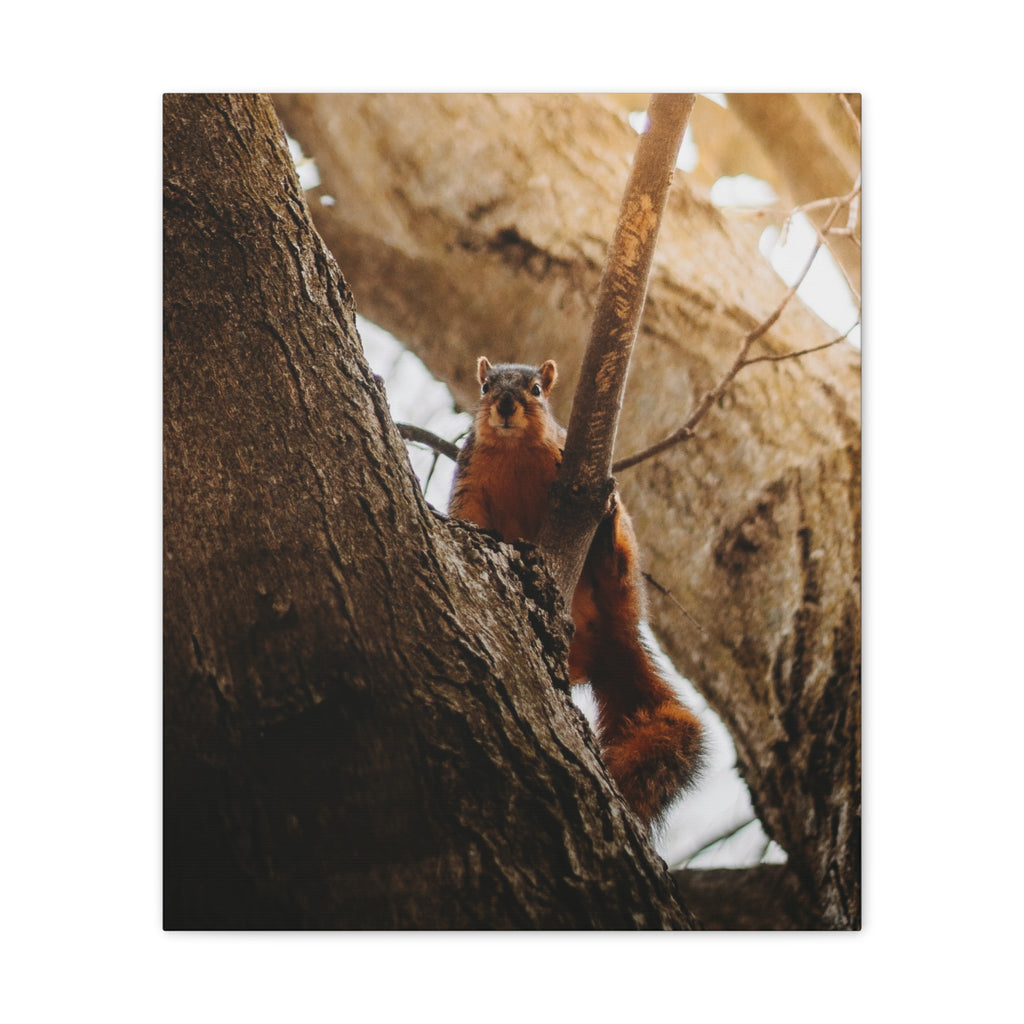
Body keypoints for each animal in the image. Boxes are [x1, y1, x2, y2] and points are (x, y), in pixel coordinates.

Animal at [450, 357, 703, 830]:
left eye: (536, 389)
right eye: (486, 387)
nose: (506, 404)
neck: (514, 452)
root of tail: (613, 638)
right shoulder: (469, 481)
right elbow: (469, 516)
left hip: (624, 583)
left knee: (616, 570)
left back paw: (607, 543)